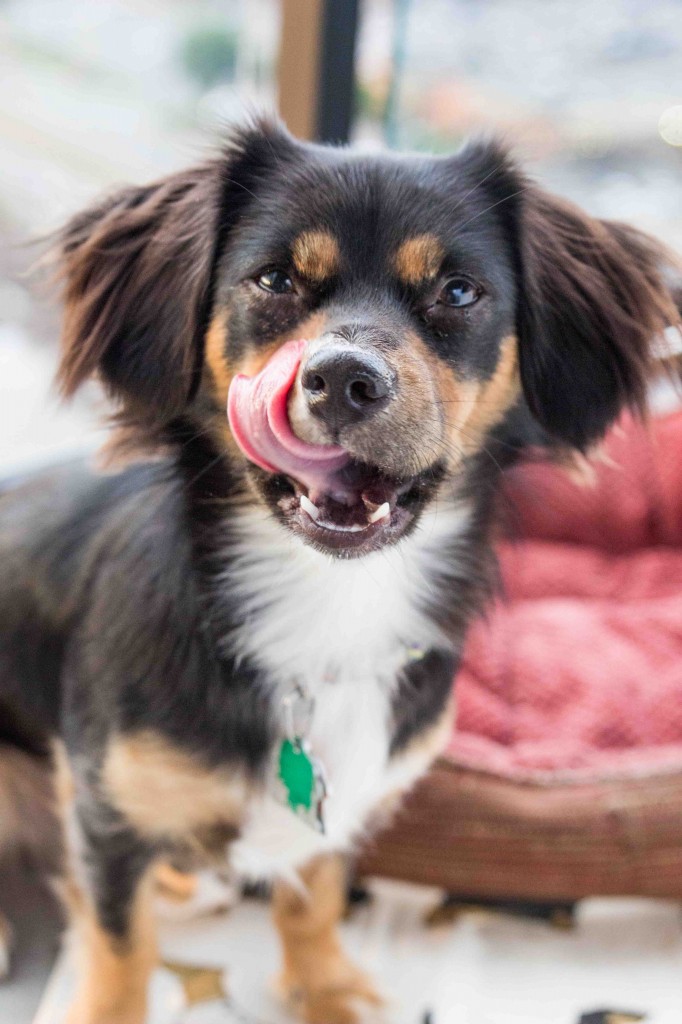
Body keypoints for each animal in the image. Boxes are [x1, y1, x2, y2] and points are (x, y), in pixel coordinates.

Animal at [0, 121, 675, 1024]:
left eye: (458, 291)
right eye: (275, 279)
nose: (343, 380)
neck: (330, 598)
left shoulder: (347, 796)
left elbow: (315, 895)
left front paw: (326, 989)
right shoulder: (110, 815)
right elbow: (121, 950)